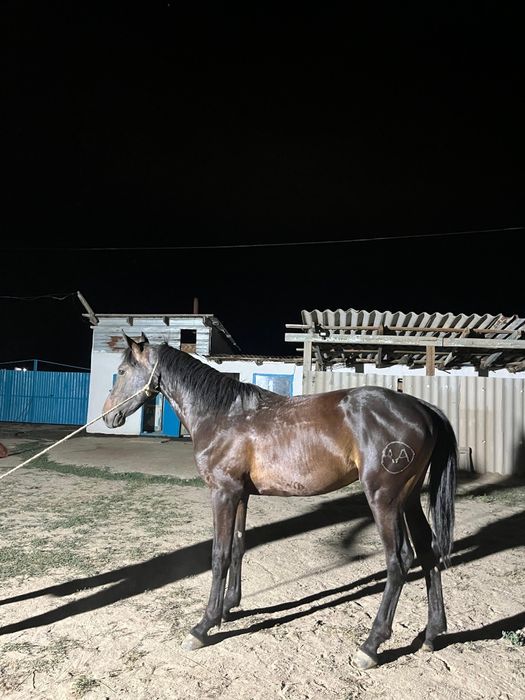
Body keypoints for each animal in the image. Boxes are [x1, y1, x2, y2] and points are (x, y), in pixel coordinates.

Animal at [102, 332, 457, 669]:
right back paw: (432, 633)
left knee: (399, 560)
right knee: (429, 551)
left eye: (122, 371)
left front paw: (204, 625)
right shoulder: (240, 495)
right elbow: (238, 547)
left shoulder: (222, 493)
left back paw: (371, 646)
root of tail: (423, 409)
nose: (108, 417)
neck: (224, 415)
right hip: (408, 499)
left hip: (384, 500)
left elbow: (219, 554)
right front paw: (229, 606)